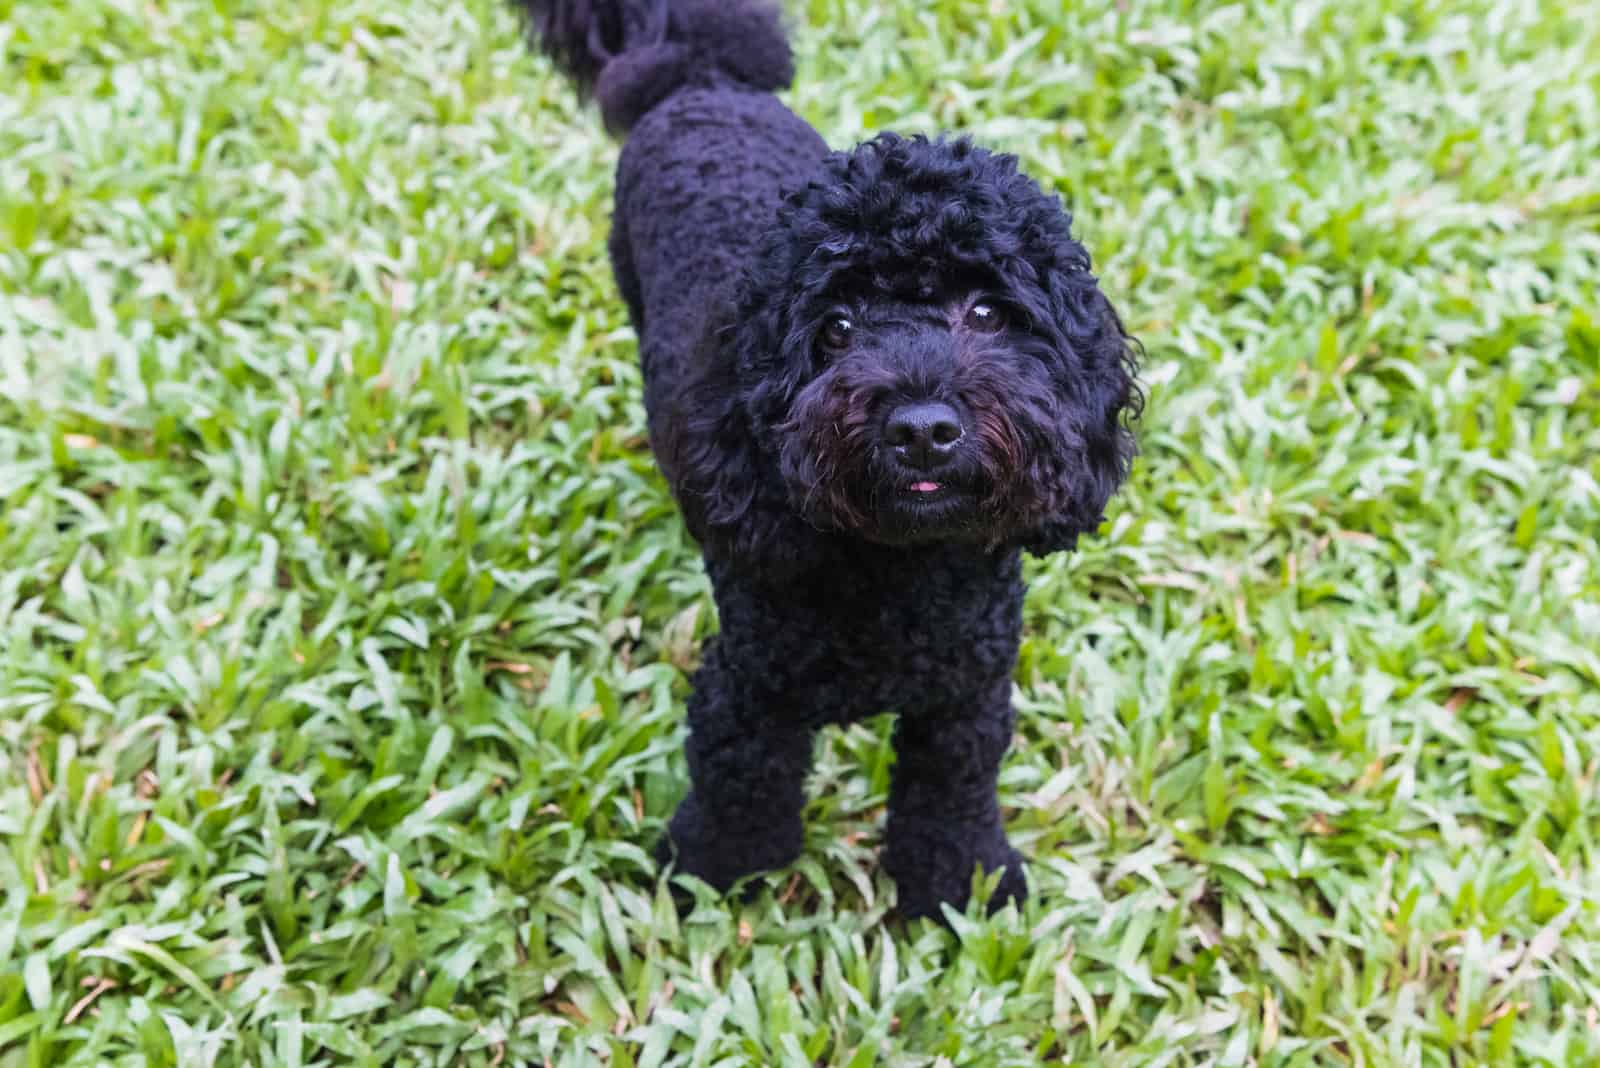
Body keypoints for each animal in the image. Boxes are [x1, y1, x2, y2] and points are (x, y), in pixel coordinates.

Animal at [515, 0, 1139, 920]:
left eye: (989, 312)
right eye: (837, 327)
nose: (922, 429)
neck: (897, 573)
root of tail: (703, 77)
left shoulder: (966, 701)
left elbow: (951, 800)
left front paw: (964, 892)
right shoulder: (747, 693)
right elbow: (739, 793)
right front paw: (707, 877)